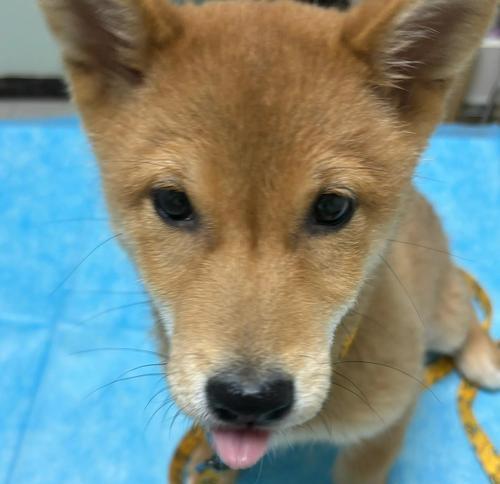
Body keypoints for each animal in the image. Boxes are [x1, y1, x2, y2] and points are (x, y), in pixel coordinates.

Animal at [40, 0, 499, 482]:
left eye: (332, 207)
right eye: (172, 202)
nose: (248, 400)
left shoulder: (383, 431)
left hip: (443, 318)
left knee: (467, 314)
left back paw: (484, 358)